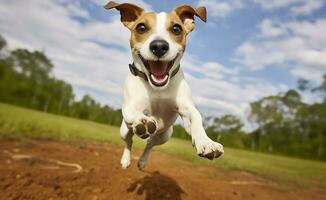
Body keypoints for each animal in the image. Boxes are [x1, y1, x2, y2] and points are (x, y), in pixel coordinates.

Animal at [104, 1, 224, 170]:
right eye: (141, 27)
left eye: (176, 29)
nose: (159, 46)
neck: (158, 89)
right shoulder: (129, 108)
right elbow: (132, 113)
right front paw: (143, 121)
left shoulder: (186, 108)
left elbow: (196, 117)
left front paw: (206, 142)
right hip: (124, 130)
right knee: (129, 141)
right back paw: (126, 159)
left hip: (165, 136)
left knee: (150, 144)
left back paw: (142, 161)